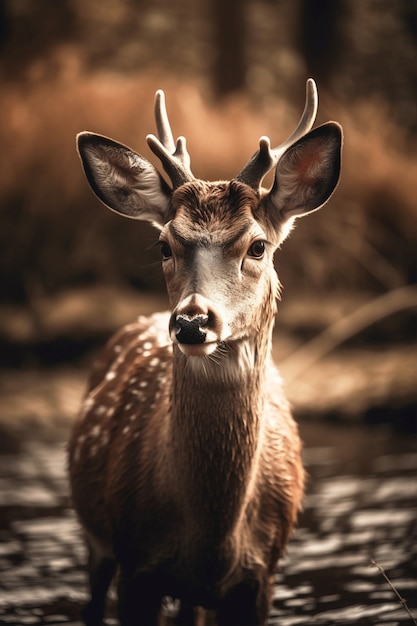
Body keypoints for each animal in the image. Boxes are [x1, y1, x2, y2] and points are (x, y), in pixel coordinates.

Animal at [68, 79, 342, 624]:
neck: (213, 539)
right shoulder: (136, 565)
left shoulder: (261, 577)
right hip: (97, 543)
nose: (192, 321)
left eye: (257, 246)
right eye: (164, 246)